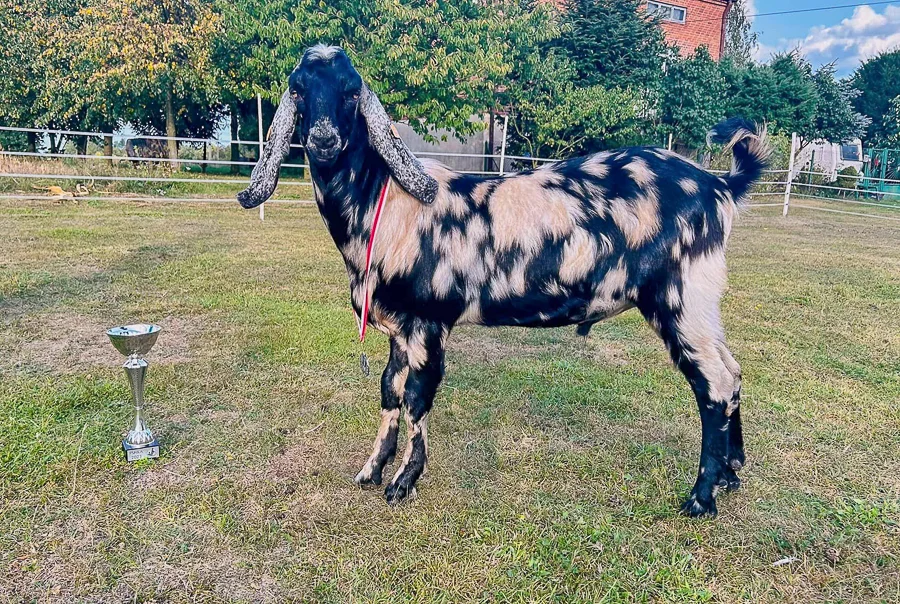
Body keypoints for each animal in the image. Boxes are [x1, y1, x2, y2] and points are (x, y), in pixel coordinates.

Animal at [237, 46, 768, 520]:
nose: (324, 139)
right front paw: (373, 468)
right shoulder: (396, 326)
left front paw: (404, 482)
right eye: (297, 89)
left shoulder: (429, 322)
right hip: (700, 301)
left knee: (714, 384)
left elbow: (416, 398)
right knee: (733, 369)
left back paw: (701, 498)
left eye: (351, 91)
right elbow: (389, 389)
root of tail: (720, 186)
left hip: (679, 296)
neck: (384, 203)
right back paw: (732, 472)